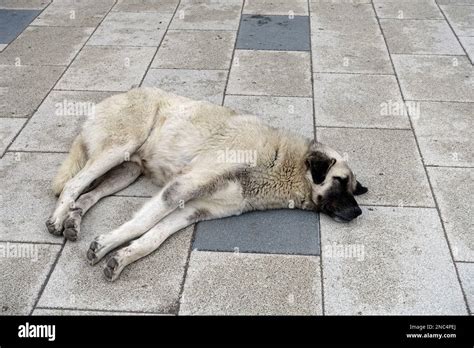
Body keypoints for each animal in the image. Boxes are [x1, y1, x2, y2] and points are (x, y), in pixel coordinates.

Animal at [46, 88, 368, 282]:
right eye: (340, 181)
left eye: (353, 189)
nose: (358, 213)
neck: (278, 161)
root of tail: (115, 96)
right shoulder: (184, 185)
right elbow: (141, 223)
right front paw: (106, 244)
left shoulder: (195, 210)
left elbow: (154, 236)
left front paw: (123, 257)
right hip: (119, 148)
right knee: (73, 184)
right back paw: (58, 218)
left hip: (128, 171)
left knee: (89, 195)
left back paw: (73, 219)